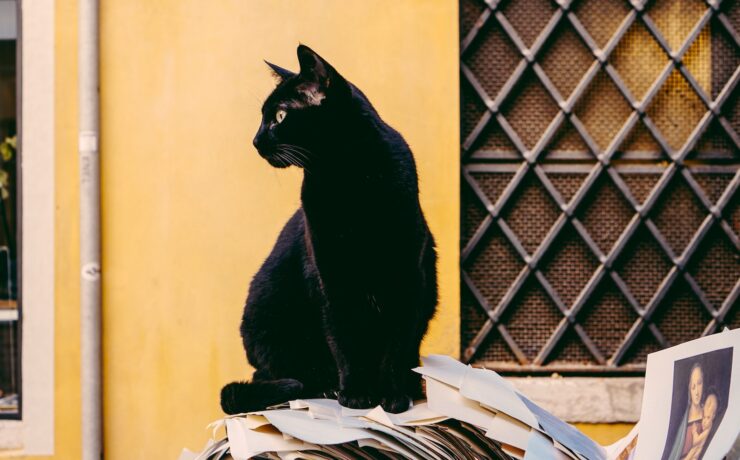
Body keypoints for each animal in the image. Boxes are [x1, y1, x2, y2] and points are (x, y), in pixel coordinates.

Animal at [221, 45, 440, 416]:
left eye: (279, 116)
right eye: (263, 116)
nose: (255, 140)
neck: (347, 176)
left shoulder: (407, 275)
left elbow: (396, 344)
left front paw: (393, 396)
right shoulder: (331, 275)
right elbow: (344, 338)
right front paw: (355, 395)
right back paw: (324, 386)